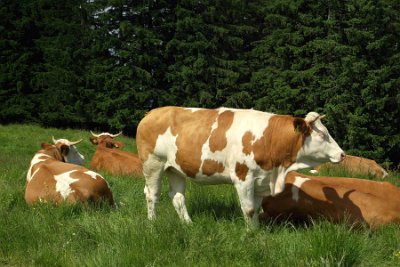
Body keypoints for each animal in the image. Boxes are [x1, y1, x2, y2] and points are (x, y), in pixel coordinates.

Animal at [136, 107, 346, 228]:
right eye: (322, 135)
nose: (342, 154)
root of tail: (152, 112)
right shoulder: (243, 176)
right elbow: (249, 209)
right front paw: (250, 235)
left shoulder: (261, 181)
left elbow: (256, 208)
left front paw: (256, 231)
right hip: (153, 163)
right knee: (151, 193)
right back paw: (153, 222)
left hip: (175, 168)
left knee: (177, 197)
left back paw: (188, 224)